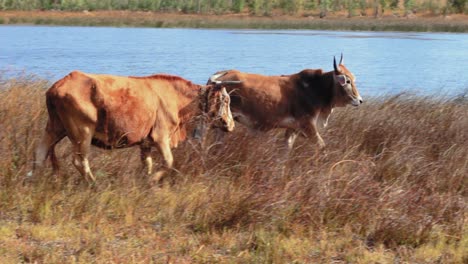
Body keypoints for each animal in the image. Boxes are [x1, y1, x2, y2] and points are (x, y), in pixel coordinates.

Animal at [33, 70, 236, 183]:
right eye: (226, 100)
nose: (231, 124)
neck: (178, 100)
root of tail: (57, 86)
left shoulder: (145, 143)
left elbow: (147, 164)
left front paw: (145, 181)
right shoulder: (161, 138)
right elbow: (169, 162)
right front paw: (153, 180)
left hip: (54, 128)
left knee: (40, 154)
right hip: (82, 132)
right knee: (80, 161)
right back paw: (93, 184)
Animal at [207, 54, 364, 150]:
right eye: (347, 81)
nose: (360, 100)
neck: (315, 88)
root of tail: (222, 74)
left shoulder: (292, 129)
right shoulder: (308, 126)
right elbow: (321, 146)